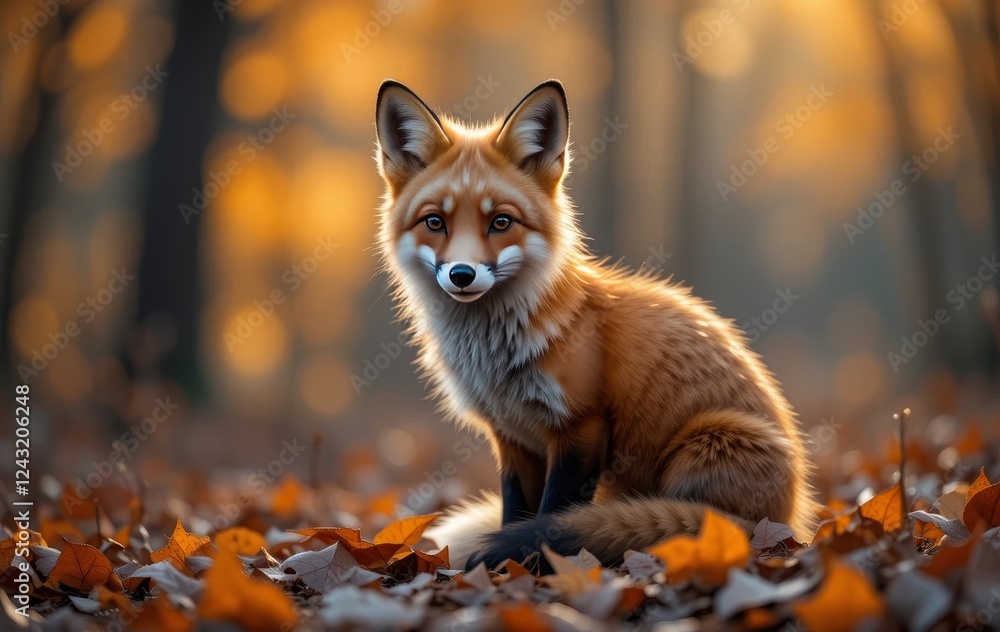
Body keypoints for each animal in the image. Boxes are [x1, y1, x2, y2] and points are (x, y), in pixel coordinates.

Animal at [373, 78, 818, 570]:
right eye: (435, 222)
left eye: (501, 221)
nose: (462, 274)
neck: (497, 357)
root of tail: (790, 520)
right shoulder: (511, 438)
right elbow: (515, 513)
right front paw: (506, 569)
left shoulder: (581, 426)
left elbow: (551, 516)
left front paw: (535, 565)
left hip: (709, 444)